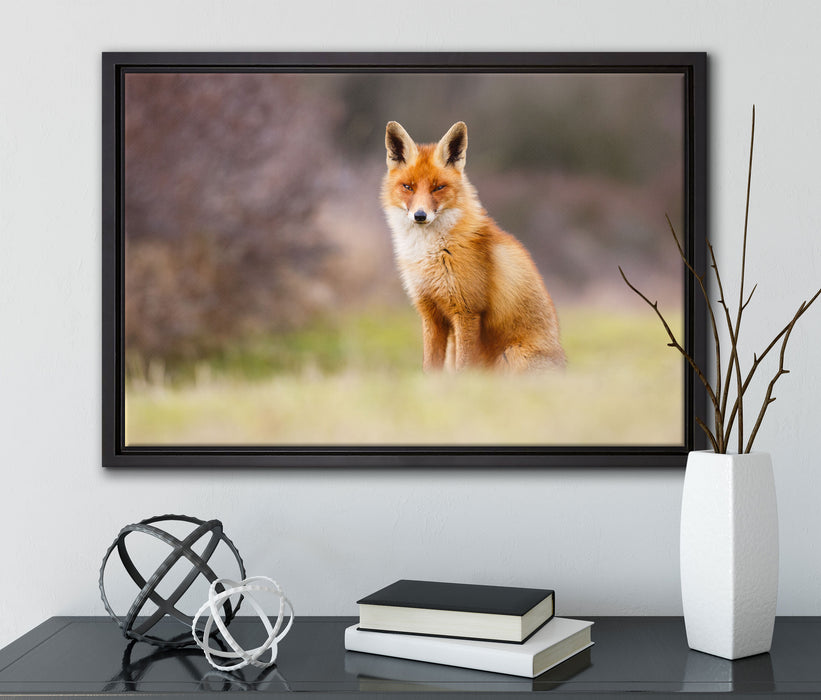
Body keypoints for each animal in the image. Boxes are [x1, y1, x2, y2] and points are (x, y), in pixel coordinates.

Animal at [382, 120, 566, 372]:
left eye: (438, 188)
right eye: (408, 187)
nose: (420, 215)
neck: (431, 253)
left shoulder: (467, 311)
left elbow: (463, 368)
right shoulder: (430, 313)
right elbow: (430, 367)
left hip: (510, 356)